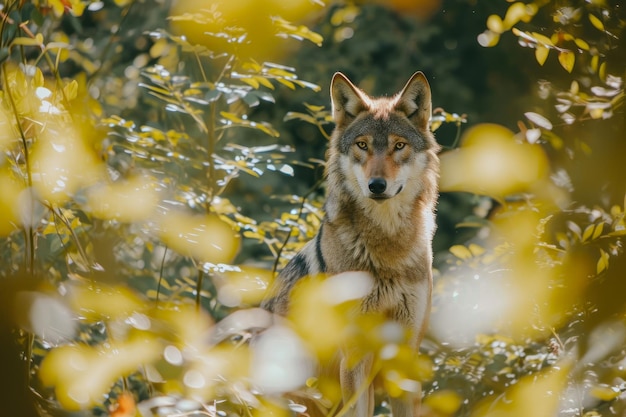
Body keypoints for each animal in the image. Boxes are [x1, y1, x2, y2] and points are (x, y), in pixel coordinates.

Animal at [260, 72, 442, 416]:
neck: (387, 249)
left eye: (399, 146)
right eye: (362, 145)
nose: (377, 185)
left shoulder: (404, 357)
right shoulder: (355, 356)